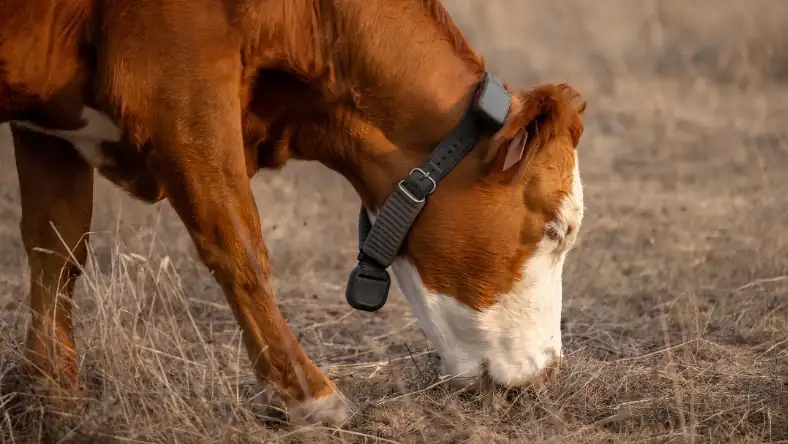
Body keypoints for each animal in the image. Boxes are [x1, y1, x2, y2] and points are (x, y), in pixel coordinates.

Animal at [0, 0, 587, 427]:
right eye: (555, 230)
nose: (549, 373)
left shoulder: (48, 123)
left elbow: (57, 249)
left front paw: (57, 398)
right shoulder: (182, 94)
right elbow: (239, 243)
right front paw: (309, 394)